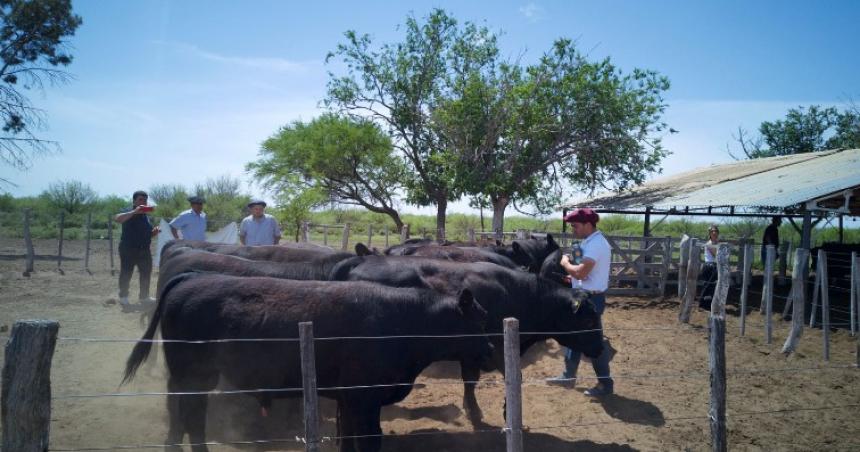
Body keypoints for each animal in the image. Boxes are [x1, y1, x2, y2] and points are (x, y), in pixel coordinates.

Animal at [124, 272, 494, 452]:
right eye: (478, 321)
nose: (492, 351)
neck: (403, 321)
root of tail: (189, 279)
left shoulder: (349, 399)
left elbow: (349, 441)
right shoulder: (364, 398)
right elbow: (369, 440)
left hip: (191, 378)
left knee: (182, 416)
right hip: (193, 375)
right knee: (191, 418)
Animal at [330, 256, 604, 426]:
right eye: (589, 320)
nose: (601, 349)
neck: (519, 294)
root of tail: (360, 259)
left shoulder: (473, 351)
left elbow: (470, 381)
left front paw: (473, 410)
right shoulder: (496, 349)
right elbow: (512, 377)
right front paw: (508, 414)